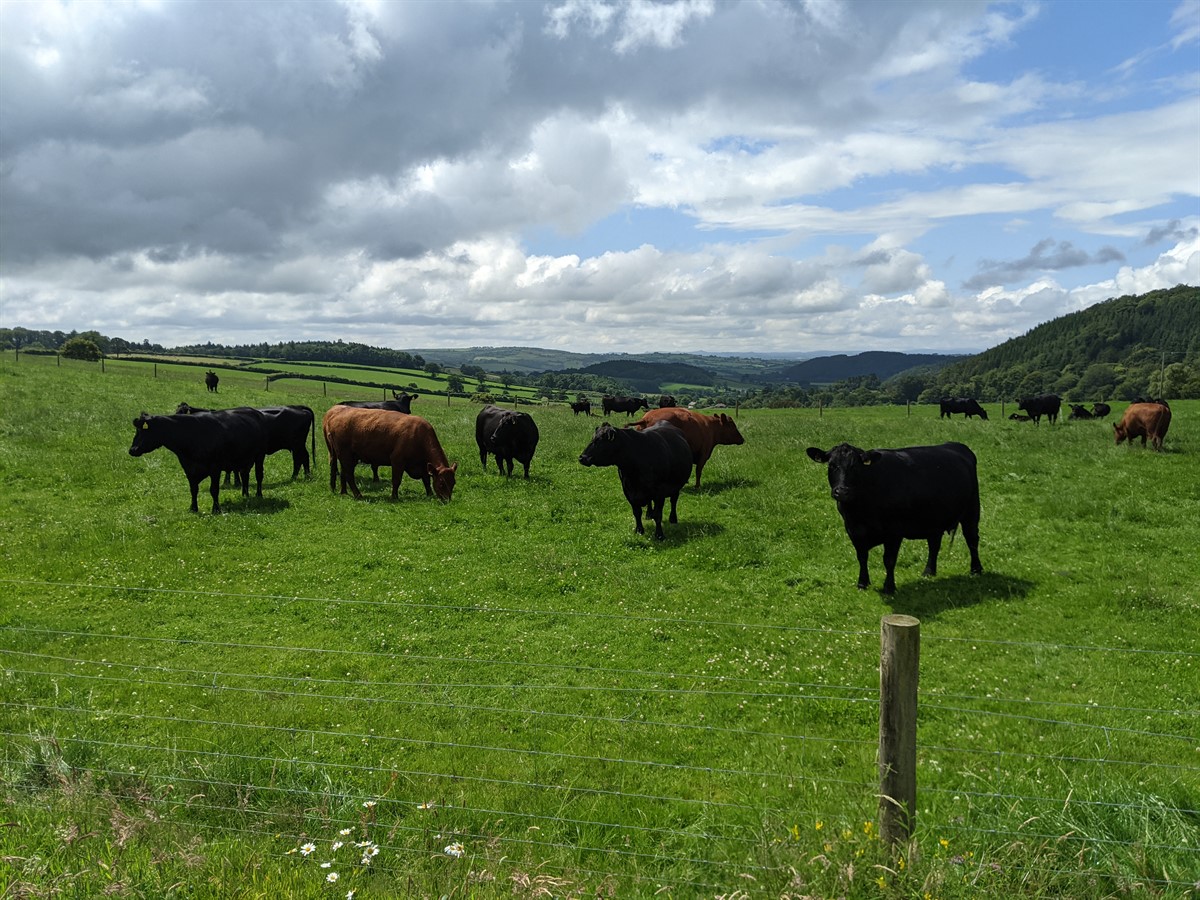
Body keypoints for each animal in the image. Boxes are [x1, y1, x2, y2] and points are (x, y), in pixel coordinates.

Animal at [129, 408, 269, 513]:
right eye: (137, 430)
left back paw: (259, 495)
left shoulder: (215, 468)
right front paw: (193, 508)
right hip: (244, 459)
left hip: (260, 455)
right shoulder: (189, 469)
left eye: (144, 430)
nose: (132, 450)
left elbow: (214, 490)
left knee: (259, 475)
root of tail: (255, 411)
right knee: (245, 475)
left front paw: (216, 509)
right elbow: (193, 489)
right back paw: (245, 495)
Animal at [177, 402, 316, 479]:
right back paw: (298, 476)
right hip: (296, 445)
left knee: (303, 457)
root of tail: (298, 407)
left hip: (297, 444)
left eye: (182, 412)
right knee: (300, 459)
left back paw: (304, 476)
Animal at [322, 406, 457, 501]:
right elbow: (396, 480)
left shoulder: (423, 466)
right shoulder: (397, 460)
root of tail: (335, 414)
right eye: (441, 483)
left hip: (343, 456)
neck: (419, 436)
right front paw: (394, 497)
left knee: (341, 472)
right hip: (346, 456)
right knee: (349, 475)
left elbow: (426, 480)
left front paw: (429, 494)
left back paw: (343, 491)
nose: (447, 500)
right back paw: (358, 494)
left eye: (453, 483)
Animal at [806, 442, 983, 595]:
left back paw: (976, 570)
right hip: (933, 519)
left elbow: (889, 560)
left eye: (855, 466)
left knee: (972, 539)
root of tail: (956, 445)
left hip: (972, 510)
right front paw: (862, 583)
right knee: (934, 544)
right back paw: (928, 572)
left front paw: (889, 587)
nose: (842, 491)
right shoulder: (854, 530)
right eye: (832, 465)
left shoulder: (894, 532)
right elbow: (862, 557)